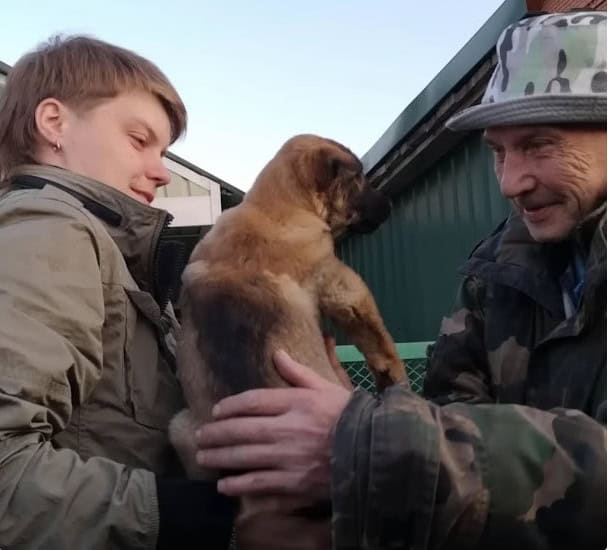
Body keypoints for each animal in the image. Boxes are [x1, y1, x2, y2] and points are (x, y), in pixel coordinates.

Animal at [169, 134, 406, 547]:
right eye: (359, 179)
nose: (389, 202)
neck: (275, 204)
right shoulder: (342, 286)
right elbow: (379, 339)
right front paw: (395, 377)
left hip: (181, 427)